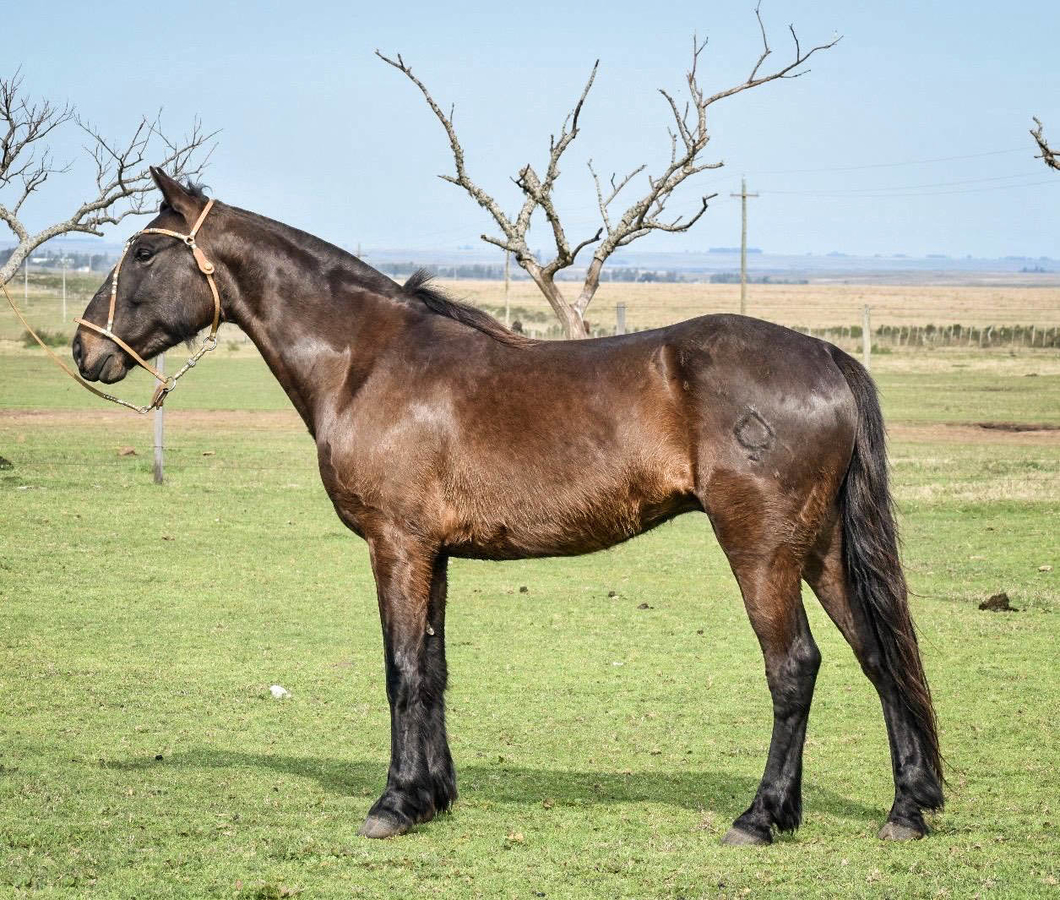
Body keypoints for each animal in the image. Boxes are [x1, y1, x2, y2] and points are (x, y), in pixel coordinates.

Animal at [70, 168, 941, 843]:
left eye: (144, 250)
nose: (84, 348)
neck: (366, 359)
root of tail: (824, 355)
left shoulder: (396, 545)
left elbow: (399, 669)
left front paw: (392, 805)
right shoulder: (433, 553)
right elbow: (432, 668)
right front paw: (431, 796)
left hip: (761, 549)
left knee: (794, 667)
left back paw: (762, 817)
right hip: (821, 550)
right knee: (879, 655)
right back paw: (906, 809)